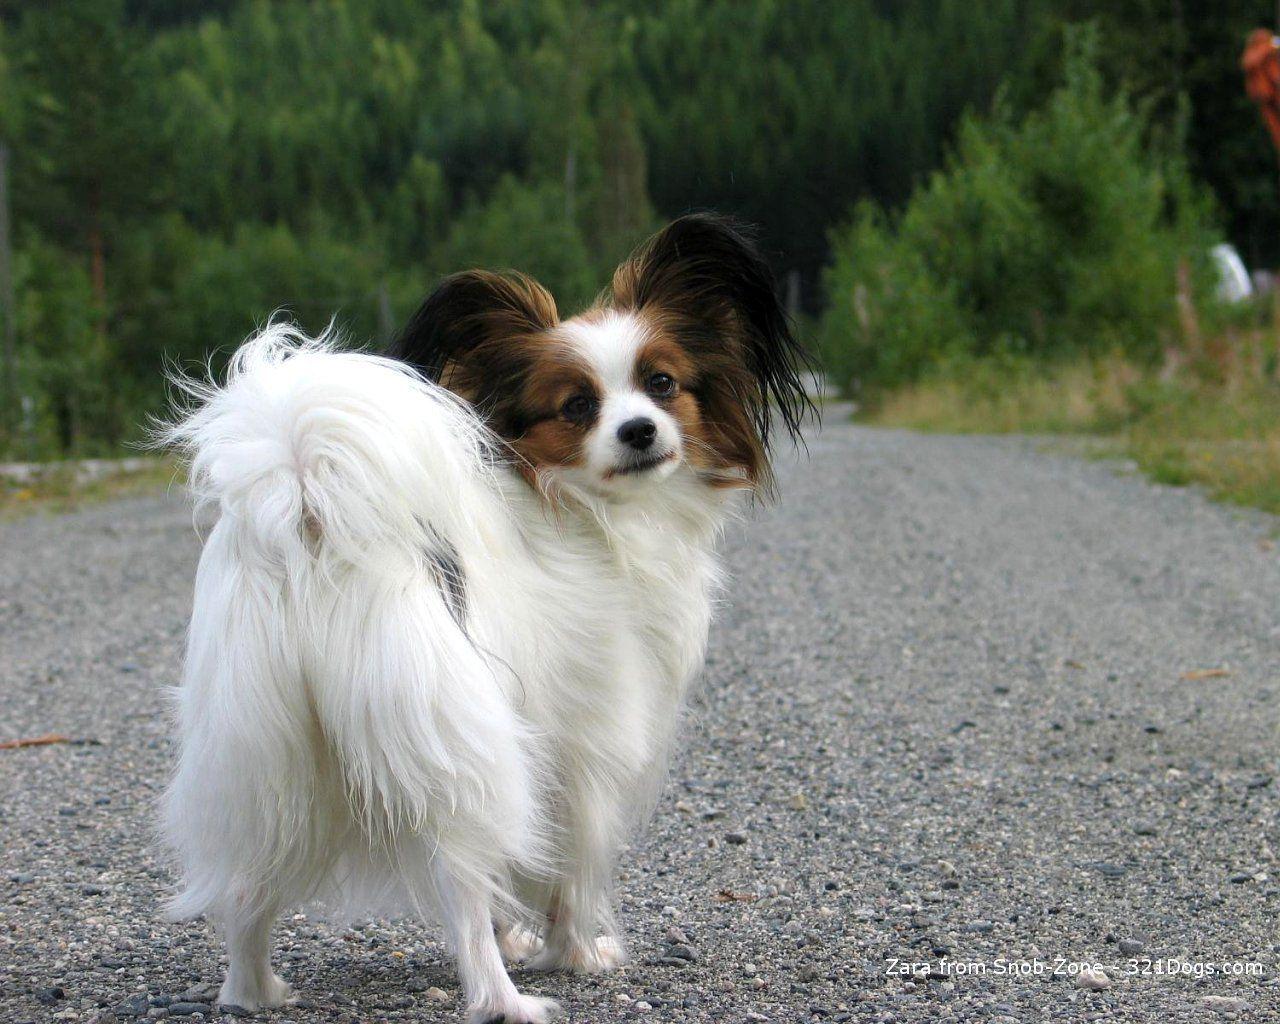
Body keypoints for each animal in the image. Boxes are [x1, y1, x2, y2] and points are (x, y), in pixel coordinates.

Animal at [160, 212, 814, 1018]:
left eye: (661, 384)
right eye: (578, 406)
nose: (639, 430)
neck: (580, 509)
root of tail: (313, 515)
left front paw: (530, 941)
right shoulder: (586, 748)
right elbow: (569, 868)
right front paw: (578, 954)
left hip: (266, 758)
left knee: (249, 891)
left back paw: (256, 992)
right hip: (456, 751)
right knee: (464, 892)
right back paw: (507, 1000)